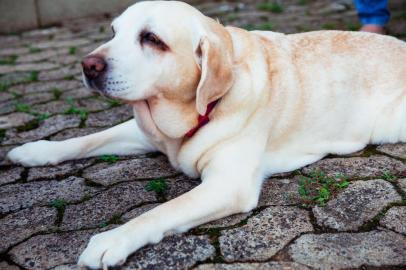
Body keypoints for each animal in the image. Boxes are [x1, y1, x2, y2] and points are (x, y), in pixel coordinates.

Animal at [6, 0, 406, 268]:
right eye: (114, 32)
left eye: (151, 38)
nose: (88, 65)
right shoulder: (146, 132)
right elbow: (90, 138)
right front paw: (36, 150)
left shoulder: (228, 185)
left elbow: (160, 211)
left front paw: (112, 239)